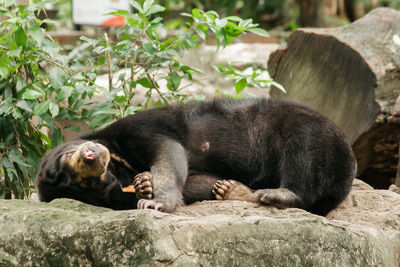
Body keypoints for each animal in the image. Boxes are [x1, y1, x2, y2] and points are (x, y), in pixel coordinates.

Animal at [36, 98, 358, 216]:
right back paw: (234, 191)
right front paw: (144, 185)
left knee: (302, 152)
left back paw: (277, 193)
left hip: (312, 131)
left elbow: (168, 151)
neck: (120, 158)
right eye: (84, 183)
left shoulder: (139, 128)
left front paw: (153, 199)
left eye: (68, 156)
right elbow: (198, 181)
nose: (91, 155)